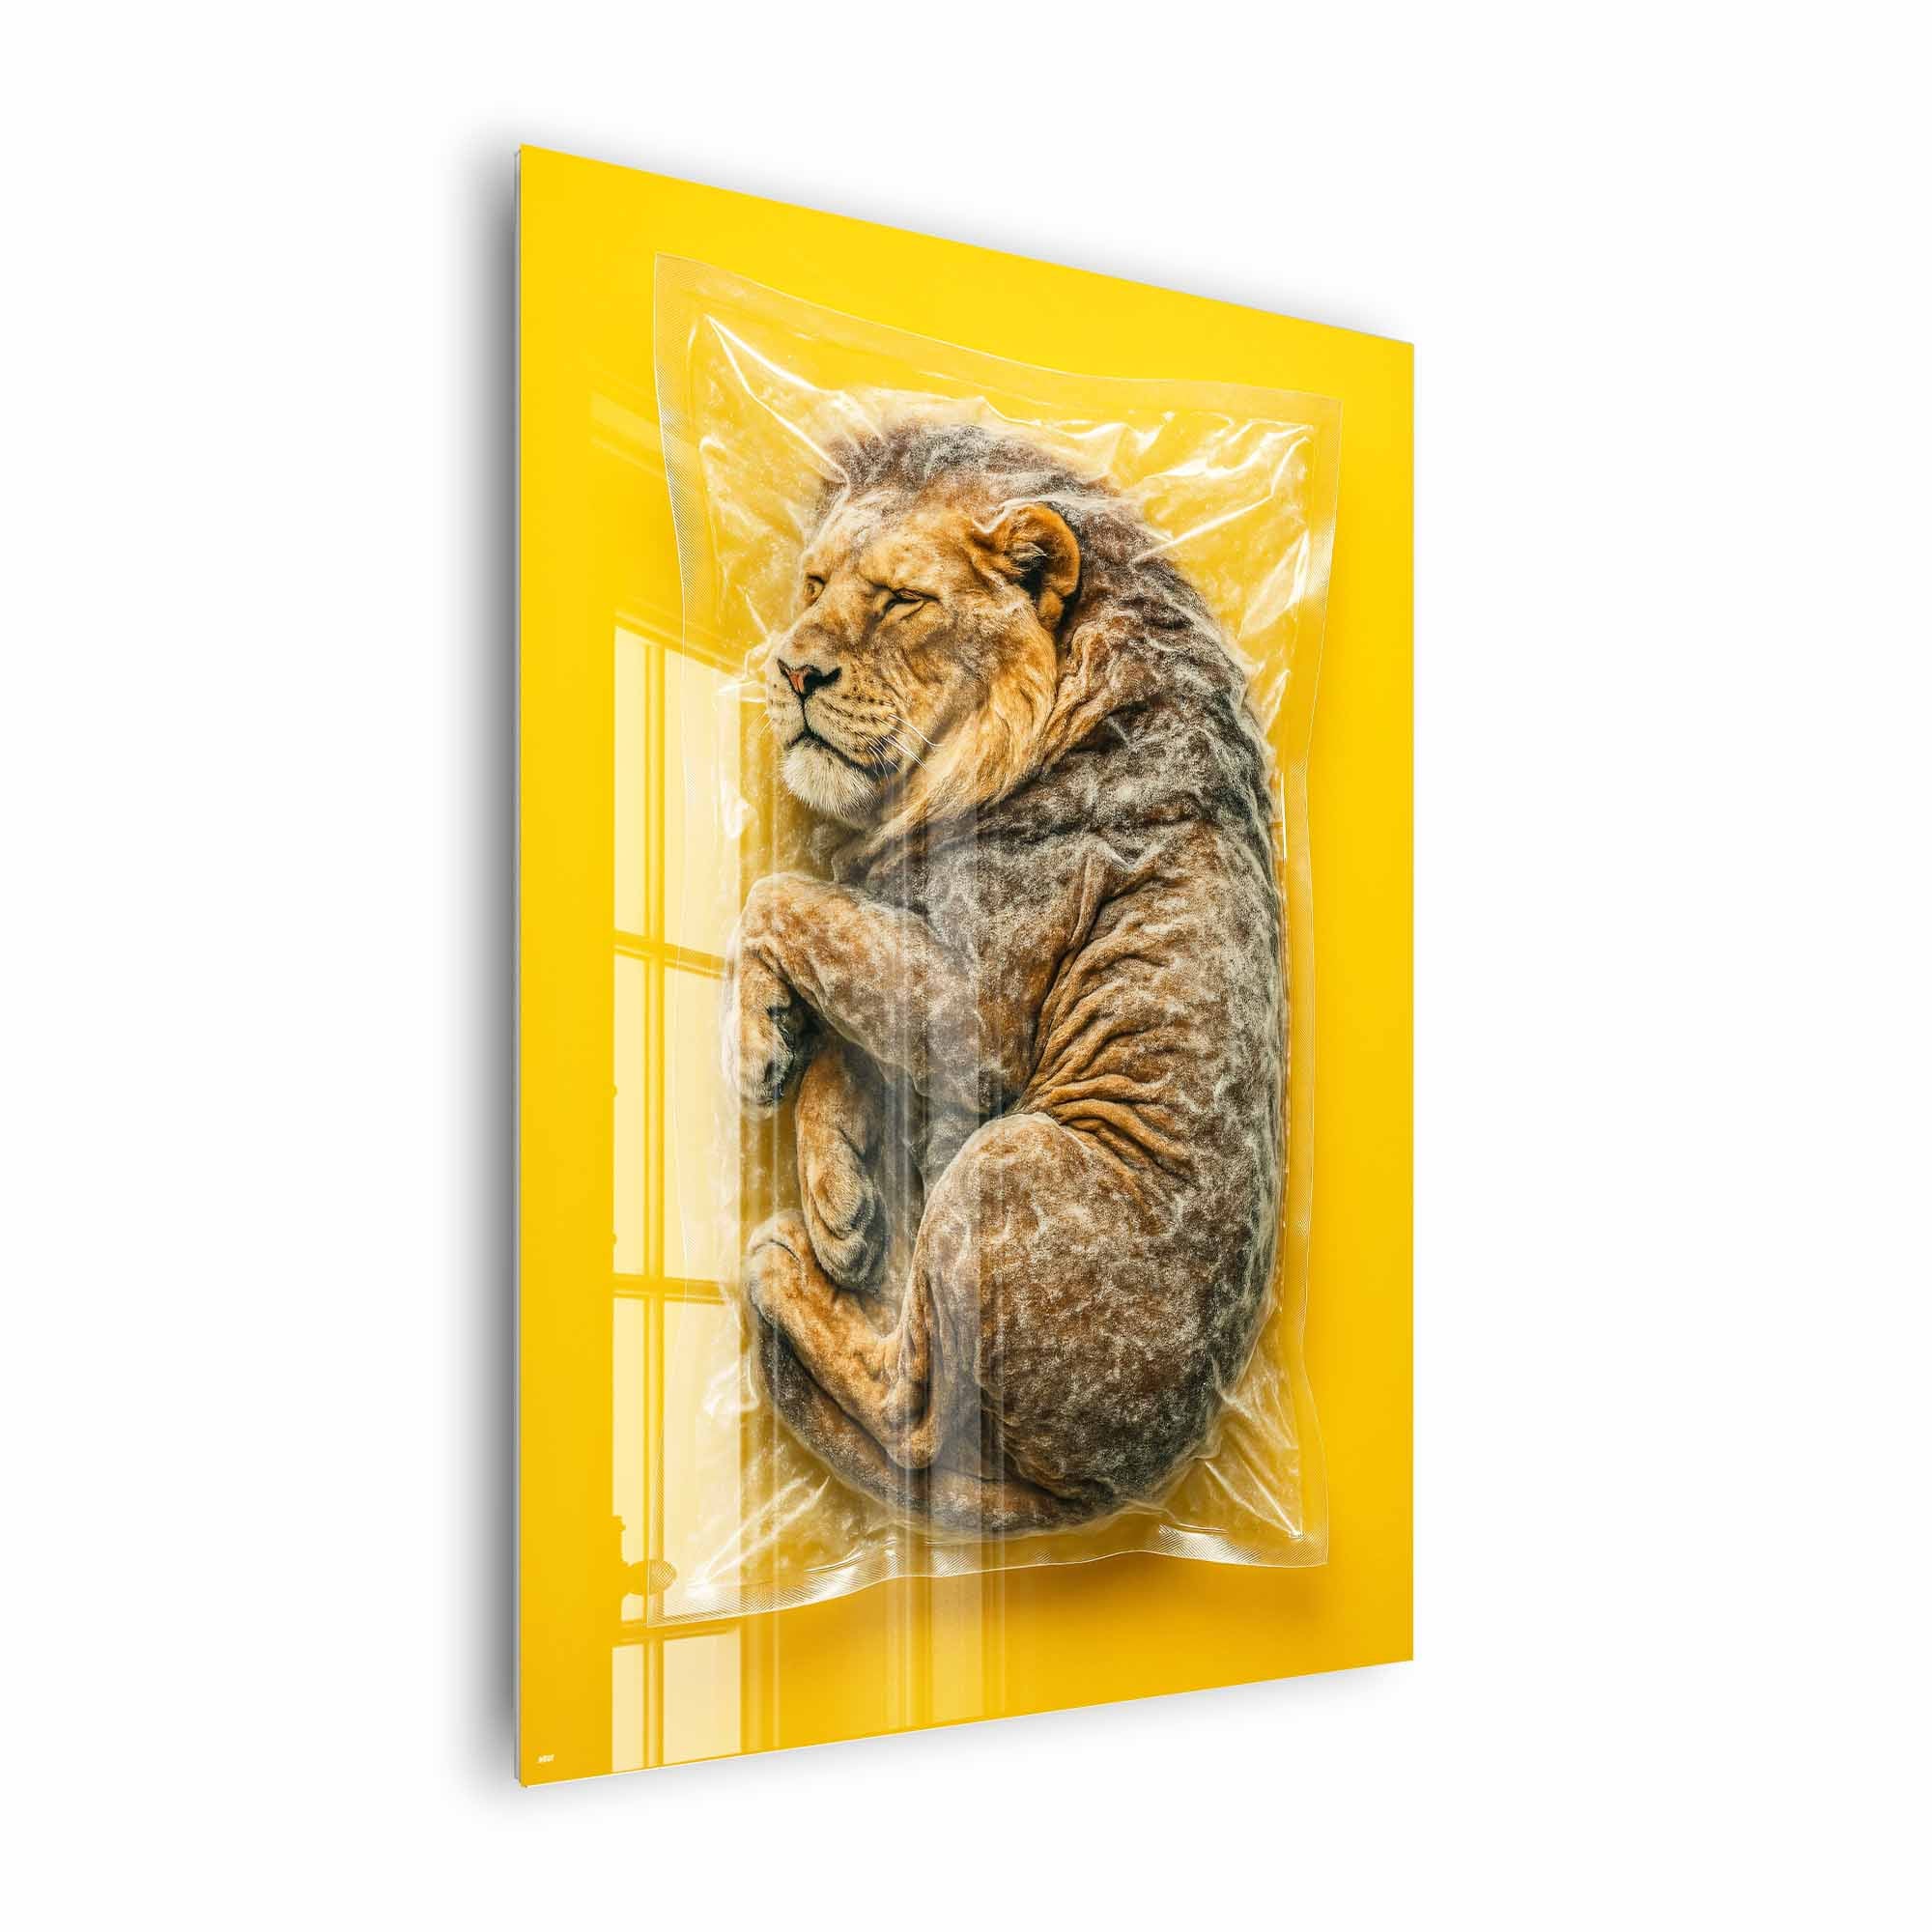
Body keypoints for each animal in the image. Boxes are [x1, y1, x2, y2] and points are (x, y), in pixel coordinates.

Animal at [727, 420, 1285, 1535]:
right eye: (812, 581)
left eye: (903, 600)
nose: (790, 668)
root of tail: (1111, 1487)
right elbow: (845, 1026)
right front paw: (839, 1201)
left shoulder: (974, 1007)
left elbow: (782, 899)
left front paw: (758, 1043)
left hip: (1003, 1165)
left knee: (911, 1413)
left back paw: (781, 1269)